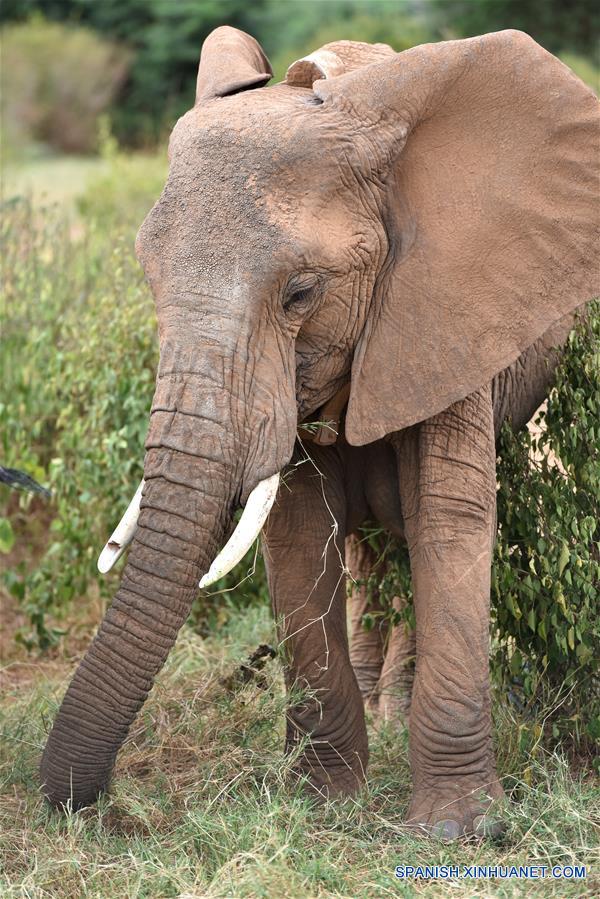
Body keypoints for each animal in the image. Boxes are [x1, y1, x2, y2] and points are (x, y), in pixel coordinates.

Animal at [39, 29, 596, 844]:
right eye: (147, 277)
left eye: (301, 292)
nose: (92, 807)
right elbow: (300, 533)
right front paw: (324, 804)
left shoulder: (449, 307)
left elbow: (449, 521)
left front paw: (458, 831)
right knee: (368, 551)